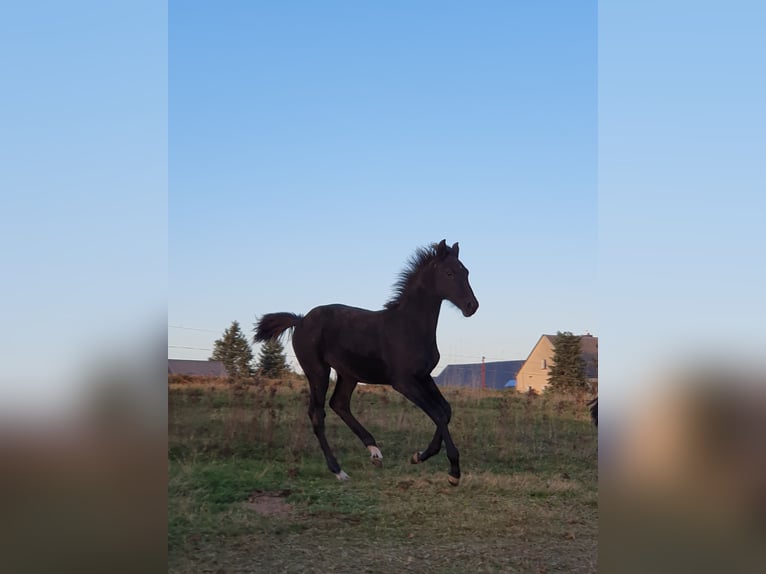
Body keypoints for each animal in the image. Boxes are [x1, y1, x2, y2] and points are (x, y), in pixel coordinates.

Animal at [255, 238, 476, 486]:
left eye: (466, 272)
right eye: (449, 273)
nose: (472, 306)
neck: (409, 326)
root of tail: (300, 320)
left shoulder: (424, 376)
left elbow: (445, 410)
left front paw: (420, 455)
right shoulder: (404, 382)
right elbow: (437, 413)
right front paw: (453, 471)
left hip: (348, 374)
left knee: (339, 404)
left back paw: (374, 451)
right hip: (317, 371)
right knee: (317, 413)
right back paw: (338, 470)